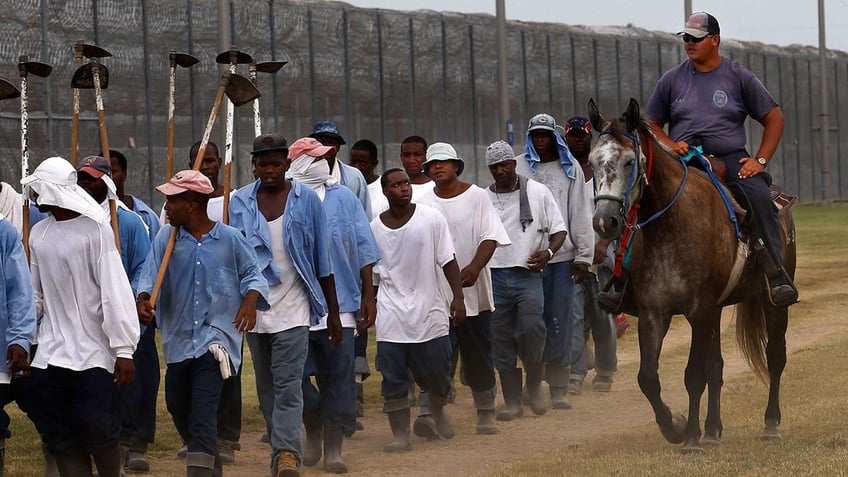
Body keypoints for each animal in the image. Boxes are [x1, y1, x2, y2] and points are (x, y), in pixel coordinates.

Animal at [584, 97, 796, 454]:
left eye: (629, 161)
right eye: (592, 161)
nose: (604, 221)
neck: (671, 224)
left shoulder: (698, 310)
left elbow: (693, 375)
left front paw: (691, 439)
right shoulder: (656, 312)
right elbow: (648, 378)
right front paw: (677, 426)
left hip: (771, 303)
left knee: (775, 357)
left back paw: (770, 425)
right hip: (716, 311)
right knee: (717, 367)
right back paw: (713, 430)